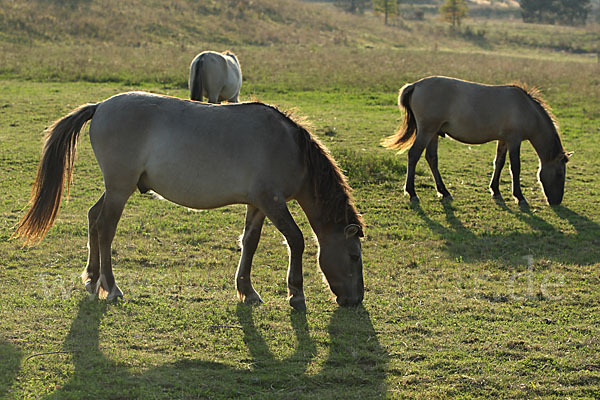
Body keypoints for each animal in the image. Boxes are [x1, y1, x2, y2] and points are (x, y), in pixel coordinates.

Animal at [14, 92, 364, 310]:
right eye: (353, 256)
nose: (356, 299)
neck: (288, 146)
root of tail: (101, 106)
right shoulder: (272, 200)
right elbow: (296, 239)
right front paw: (296, 294)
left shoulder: (258, 204)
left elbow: (249, 243)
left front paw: (247, 290)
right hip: (119, 188)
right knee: (105, 227)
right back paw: (110, 287)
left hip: (116, 188)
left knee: (92, 217)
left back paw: (92, 277)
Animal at [382, 75, 568, 206]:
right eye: (560, 173)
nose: (556, 201)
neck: (525, 108)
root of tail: (415, 85)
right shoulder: (514, 141)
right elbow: (515, 168)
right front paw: (519, 197)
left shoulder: (503, 140)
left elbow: (499, 163)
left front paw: (495, 190)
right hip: (426, 131)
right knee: (414, 155)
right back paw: (412, 193)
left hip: (433, 133)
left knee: (431, 159)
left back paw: (444, 191)